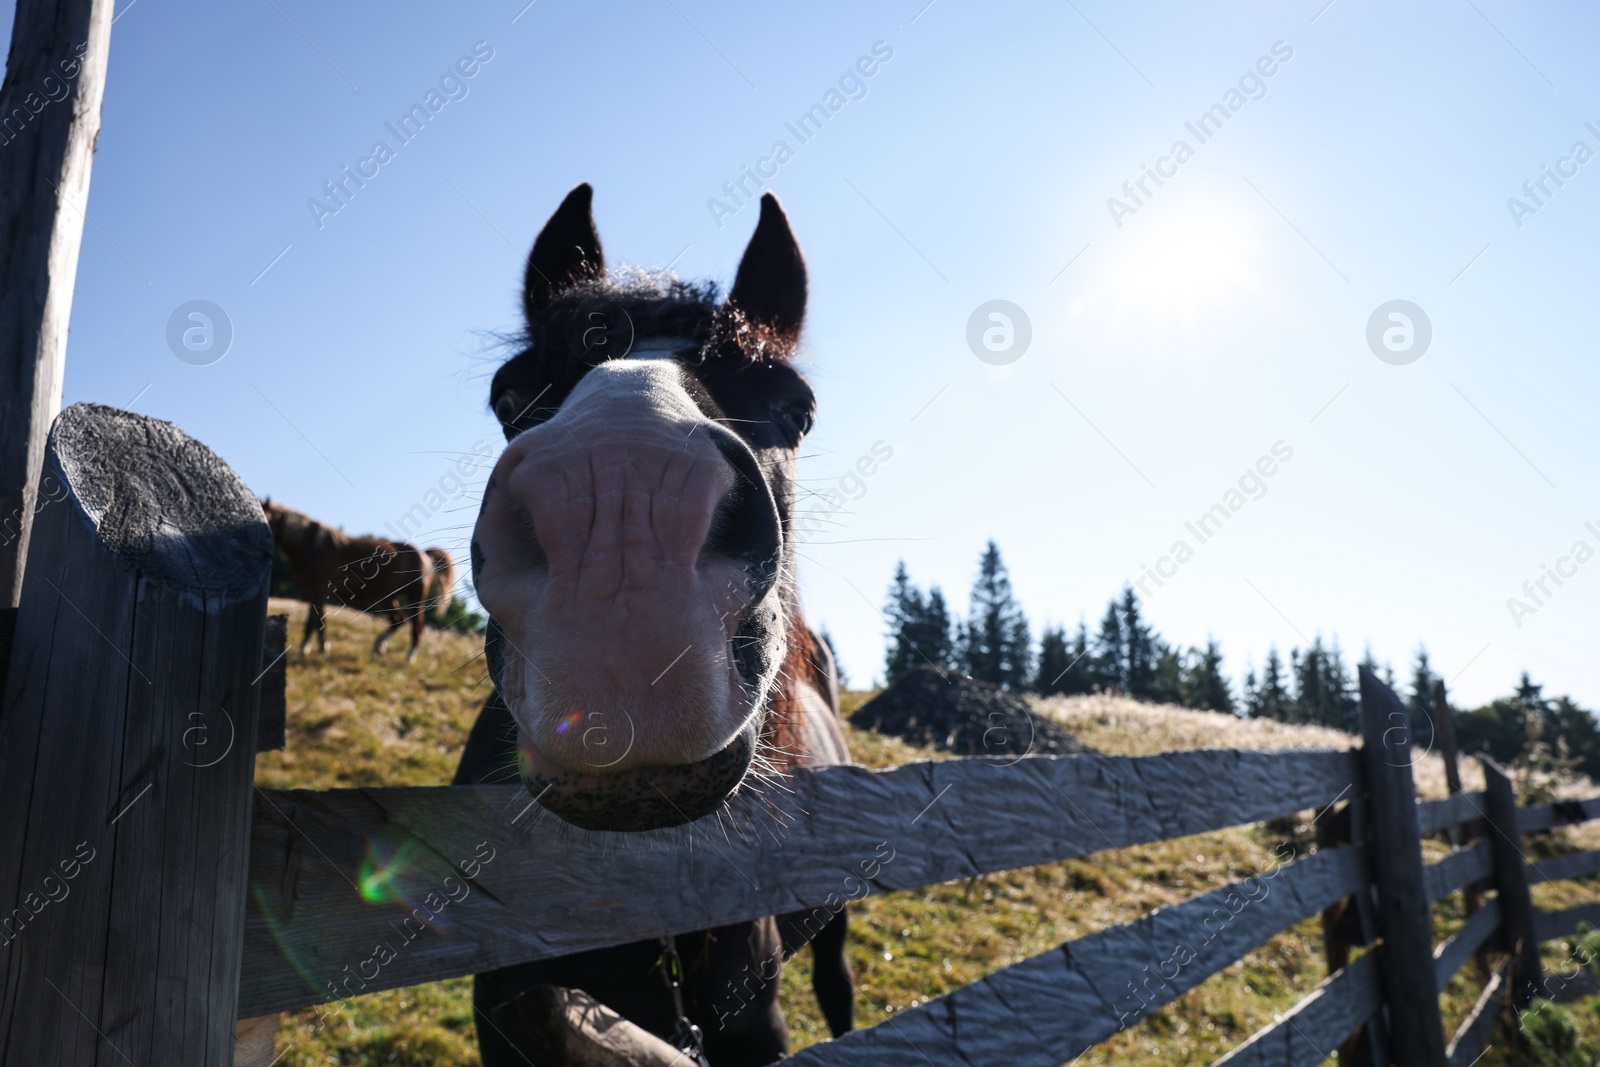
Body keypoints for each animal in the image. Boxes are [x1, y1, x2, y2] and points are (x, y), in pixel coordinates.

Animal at [262, 499, 438, 659]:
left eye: (266, 517)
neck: (313, 546)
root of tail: (425, 555)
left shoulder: (319, 593)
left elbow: (319, 622)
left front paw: (323, 650)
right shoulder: (312, 594)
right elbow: (310, 623)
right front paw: (304, 650)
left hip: (415, 598)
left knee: (417, 627)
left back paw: (409, 658)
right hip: (388, 598)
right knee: (398, 620)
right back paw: (378, 648)